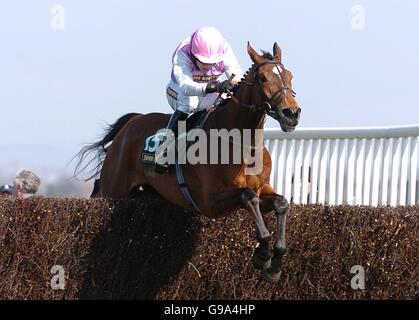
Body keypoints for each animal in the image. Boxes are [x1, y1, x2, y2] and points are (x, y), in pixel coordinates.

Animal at [75, 43, 302, 282]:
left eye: (290, 75)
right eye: (263, 78)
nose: (292, 113)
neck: (242, 144)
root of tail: (133, 120)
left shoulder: (262, 187)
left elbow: (281, 203)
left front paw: (275, 262)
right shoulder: (211, 202)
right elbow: (248, 197)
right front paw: (263, 253)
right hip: (114, 187)